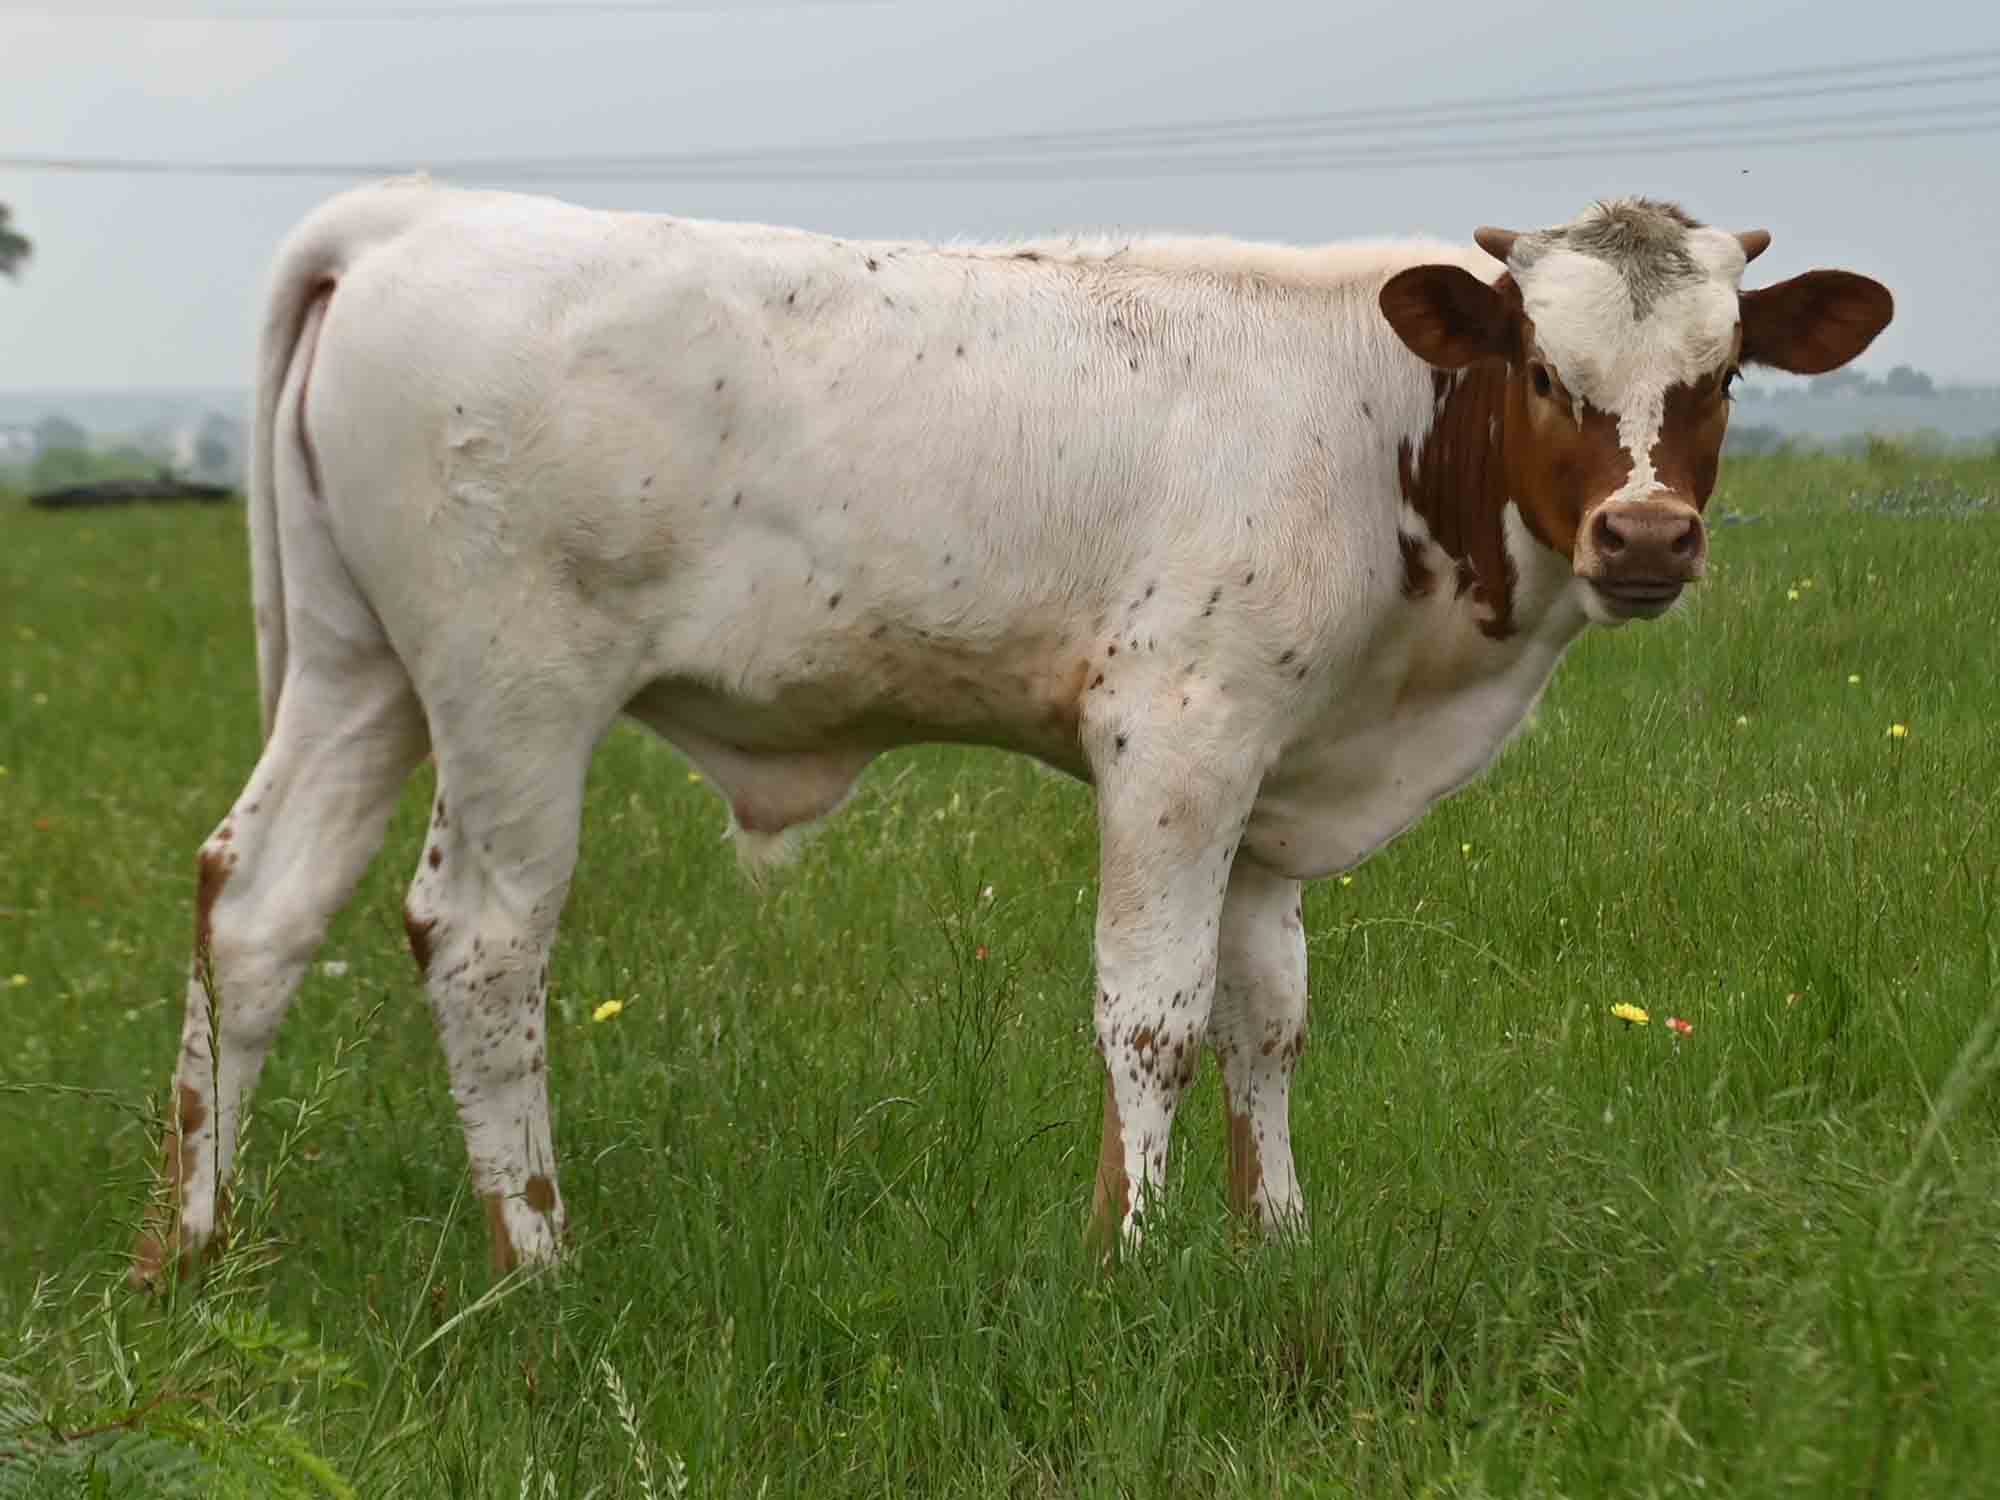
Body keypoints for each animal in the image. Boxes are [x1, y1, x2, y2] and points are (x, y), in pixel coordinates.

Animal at [132, 182, 1891, 1281]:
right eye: (1539, 361)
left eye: (1725, 373)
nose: (1646, 538)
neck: (1379, 423)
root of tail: (420, 214)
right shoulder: (1179, 738)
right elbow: (1154, 1012)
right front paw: (1133, 1257)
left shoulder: (1274, 775)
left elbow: (1269, 1015)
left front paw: (1277, 1239)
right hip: (514, 691)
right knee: (483, 942)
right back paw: (541, 1264)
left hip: (359, 669)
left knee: (259, 904)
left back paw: (193, 1248)